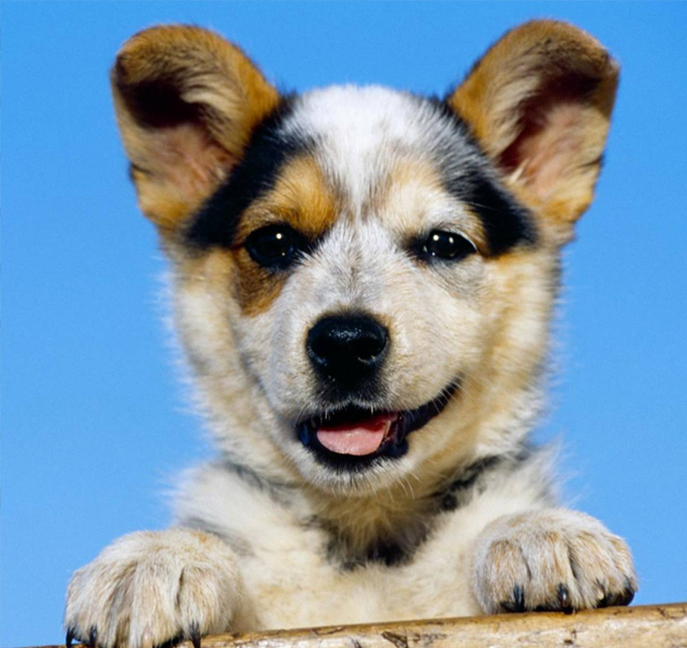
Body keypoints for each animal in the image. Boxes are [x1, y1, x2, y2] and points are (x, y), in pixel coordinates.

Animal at [65, 19, 637, 648]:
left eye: (445, 244)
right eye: (273, 242)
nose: (345, 342)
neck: (367, 534)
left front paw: (537, 532)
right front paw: (160, 557)